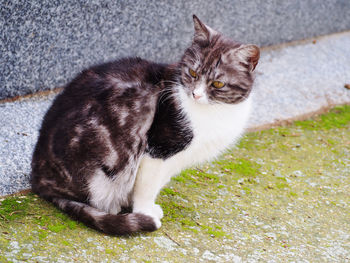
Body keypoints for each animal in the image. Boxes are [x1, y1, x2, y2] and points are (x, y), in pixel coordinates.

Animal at [30, 15, 260, 236]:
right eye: (193, 73)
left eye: (218, 84)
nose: (196, 94)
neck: (215, 112)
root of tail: (40, 177)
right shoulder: (158, 149)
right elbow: (147, 186)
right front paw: (143, 211)